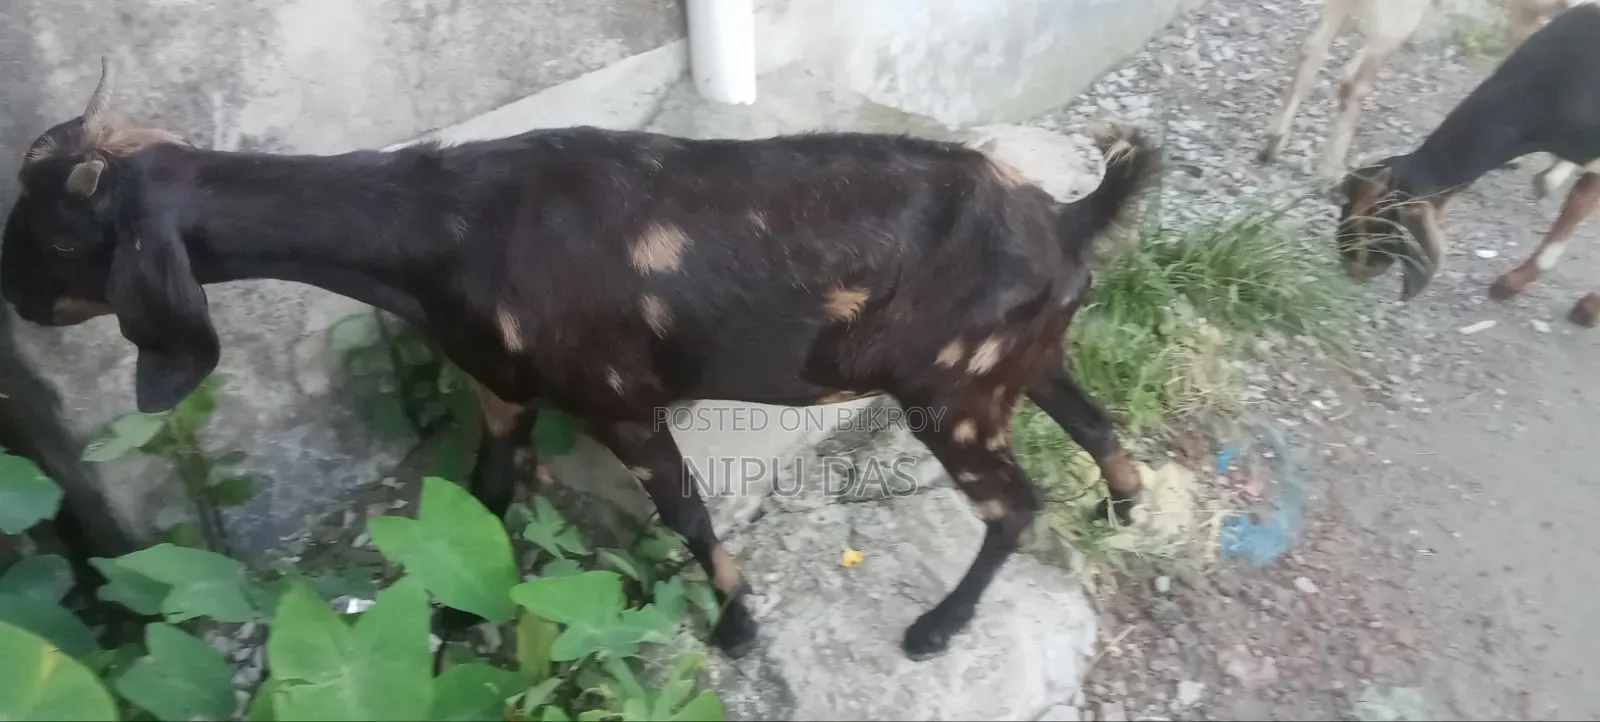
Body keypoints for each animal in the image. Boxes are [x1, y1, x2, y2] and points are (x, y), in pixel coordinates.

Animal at [0, 58, 1161, 661]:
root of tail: (1066, 215)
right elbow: (481, 496)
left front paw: (737, 626)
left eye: (57, 237)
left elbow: (688, 516)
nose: (12, 296)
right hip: (1018, 360)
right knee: (1097, 423)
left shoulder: (619, 401)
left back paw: (936, 626)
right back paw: (1125, 507)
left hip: (948, 391)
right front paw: (452, 618)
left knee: (1014, 501)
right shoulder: (501, 393)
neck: (442, 230)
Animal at [1260, 0, 1589, 194]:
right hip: (1399, 16)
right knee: (1352, 79)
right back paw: (1330, 173)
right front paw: (1553, 174)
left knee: (1312, 49)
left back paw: (1273, 145)